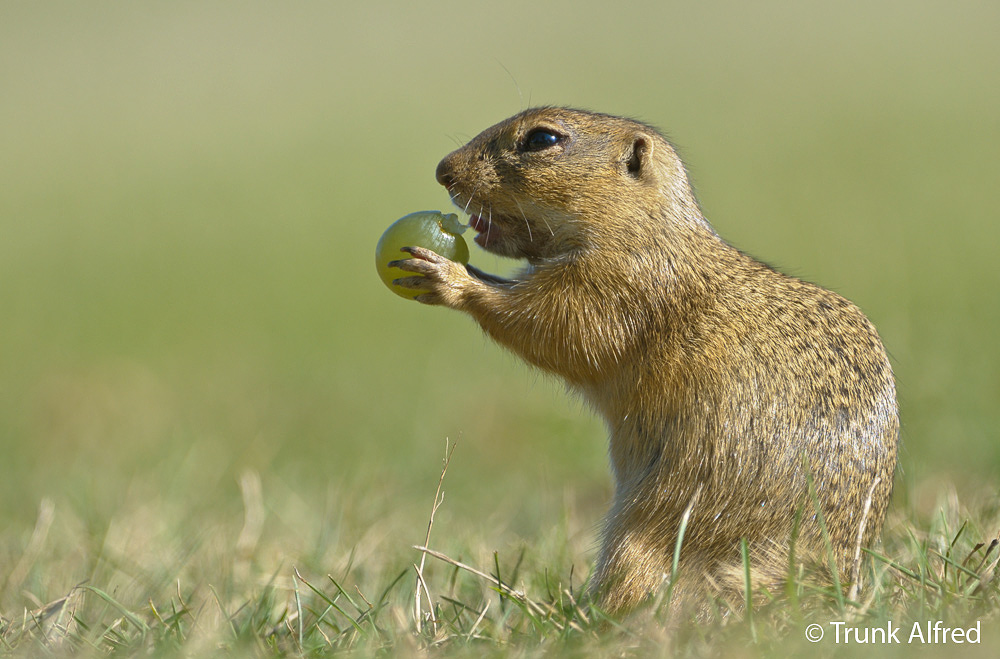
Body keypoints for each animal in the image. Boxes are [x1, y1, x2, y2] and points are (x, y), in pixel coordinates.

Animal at [390, 105, 900, 616]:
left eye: (541, 139)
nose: (444, 171)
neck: (647, 230)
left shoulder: (612, 288)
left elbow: (548, 327)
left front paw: (448, 277)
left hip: (638, 539)